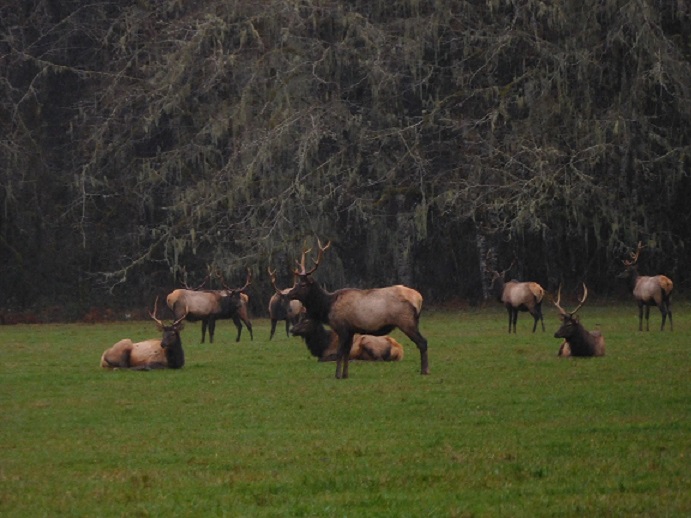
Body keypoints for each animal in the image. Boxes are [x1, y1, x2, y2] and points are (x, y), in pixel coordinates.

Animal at [286, 239, 428, 379]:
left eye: (303, 285)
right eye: (297, 283)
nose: (288, 294)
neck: (327, 307)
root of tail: (419, 298)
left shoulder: (342, 327)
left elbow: (340, 352)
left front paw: (337, 375)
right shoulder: (351, 330)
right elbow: (347, 353)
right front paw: (345, 375)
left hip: (406, 321)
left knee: (422, 342)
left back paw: (424, 371)